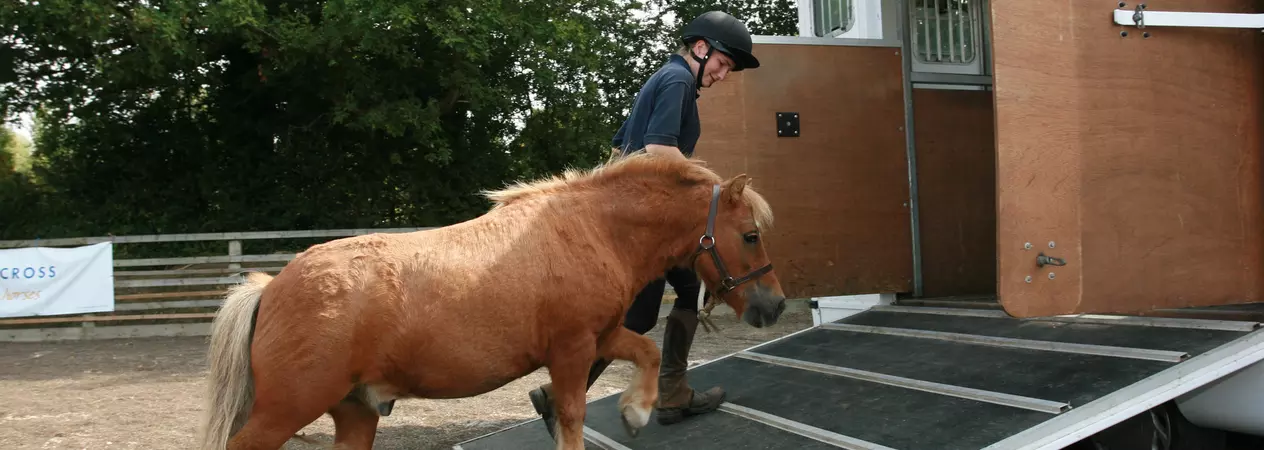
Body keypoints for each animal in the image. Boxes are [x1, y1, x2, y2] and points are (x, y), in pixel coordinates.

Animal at [195, 150, 787, 450]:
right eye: (751, 234)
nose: (775, 305)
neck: (590, 230)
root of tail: (269, 288)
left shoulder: (599, 337)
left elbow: (647, 350)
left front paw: (636, 412)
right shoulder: (571, 350)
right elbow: (570, 416)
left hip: (356, 413)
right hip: (284, 412)